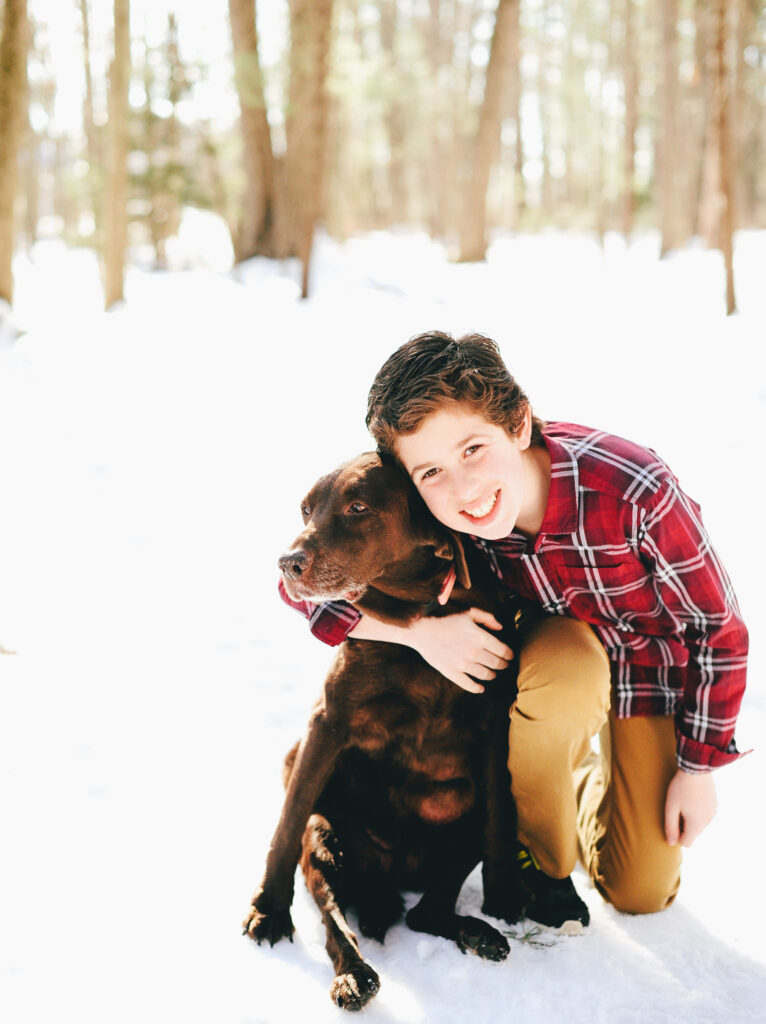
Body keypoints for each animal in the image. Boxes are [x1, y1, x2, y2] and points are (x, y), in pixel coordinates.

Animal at [245, 454, 528, 1007]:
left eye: (358, 507)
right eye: (306, 509)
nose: (287, 563)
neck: (423, 608)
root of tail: (388, 878)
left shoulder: (495, 724)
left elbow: (500, 813)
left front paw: (504, 894)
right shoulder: (325, 725)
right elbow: (284, 827)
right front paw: (268, 909)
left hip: (458, 828)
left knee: (427, 913)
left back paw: (479, 933)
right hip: (326, 837)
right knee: (337, 919)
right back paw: (355, 975)